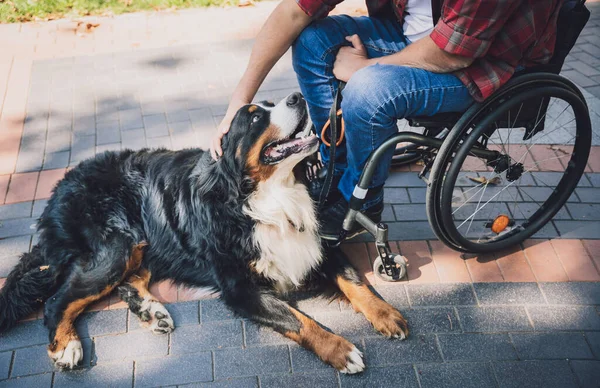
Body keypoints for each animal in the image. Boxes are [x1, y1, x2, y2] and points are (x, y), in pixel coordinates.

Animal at [0, 92, 408, 374]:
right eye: (255, 116)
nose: (297, 97)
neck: (264, 198)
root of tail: (58, 190)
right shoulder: (241, 288)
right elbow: (299, 320)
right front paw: (340, 349)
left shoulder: (316, 245)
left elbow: (355, 281)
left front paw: (387, 314)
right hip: (115, 246)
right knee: (59, 300)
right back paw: (66, 346)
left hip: (148, 244)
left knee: (131, 281)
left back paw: (153, 312)